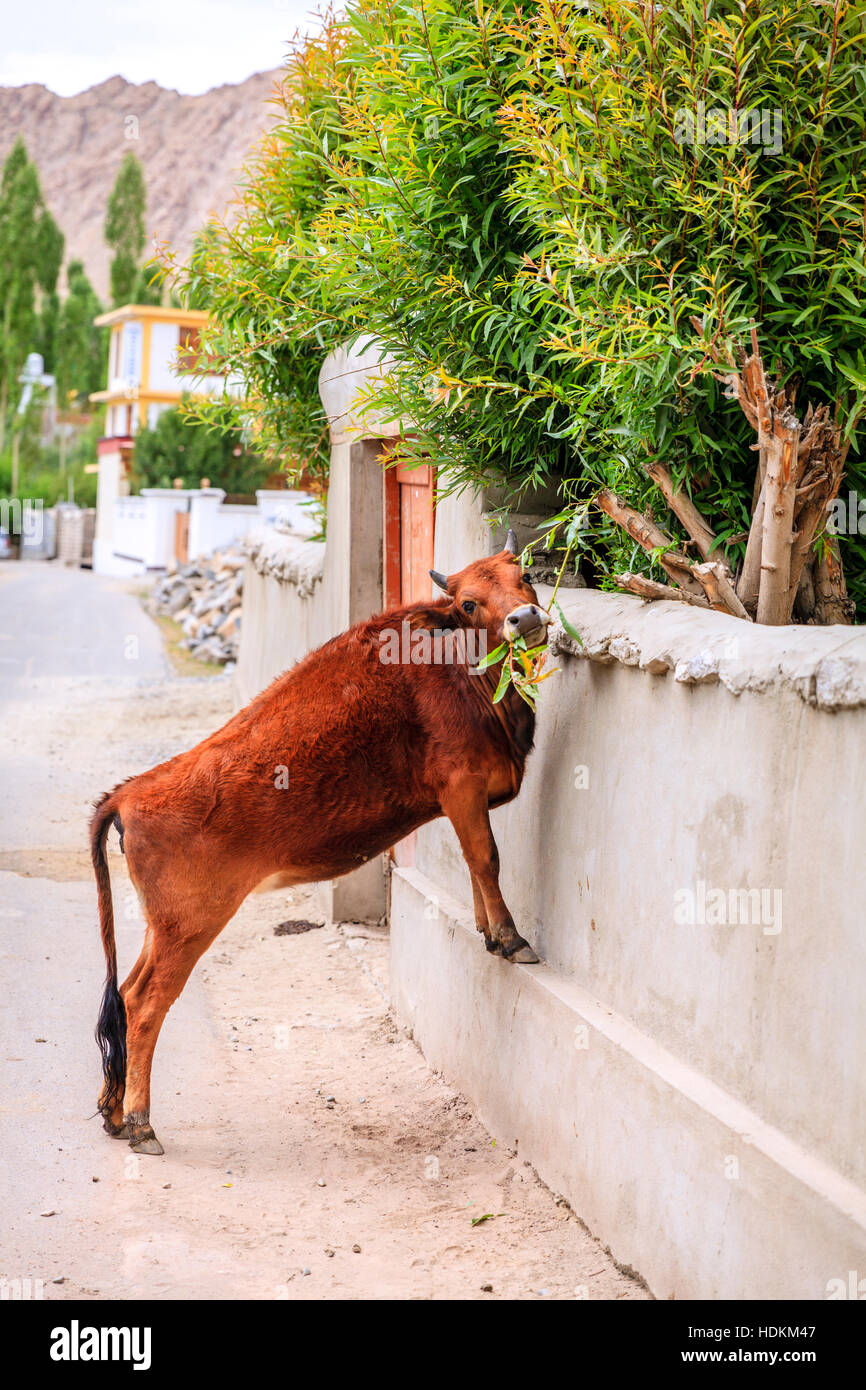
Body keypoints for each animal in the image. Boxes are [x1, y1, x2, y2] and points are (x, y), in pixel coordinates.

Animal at [93, 530, 547, 1150]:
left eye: (525, 575)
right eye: (470, 603)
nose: (525, 619)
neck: (459, 668)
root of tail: (129, 793)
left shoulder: (466, 803)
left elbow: (476, 866)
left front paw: (486, 931)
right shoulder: (462, 789)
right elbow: (487, 858)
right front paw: (509, 937)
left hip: (160, 928)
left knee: (125, 990)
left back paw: (114, 1113)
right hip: (191, 926)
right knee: (144, 1003)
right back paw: (141, 1122)